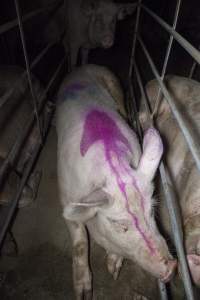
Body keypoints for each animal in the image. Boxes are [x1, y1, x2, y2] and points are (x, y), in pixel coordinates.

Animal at [55, 64, 177, 298]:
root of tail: (84, 66)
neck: (115, 169)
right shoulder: (65, 194)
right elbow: (80, 241)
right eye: (120, 225)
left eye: (152, 210)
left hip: (116, 86)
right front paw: (84, 294)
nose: (172, 267)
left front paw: (113, 270)